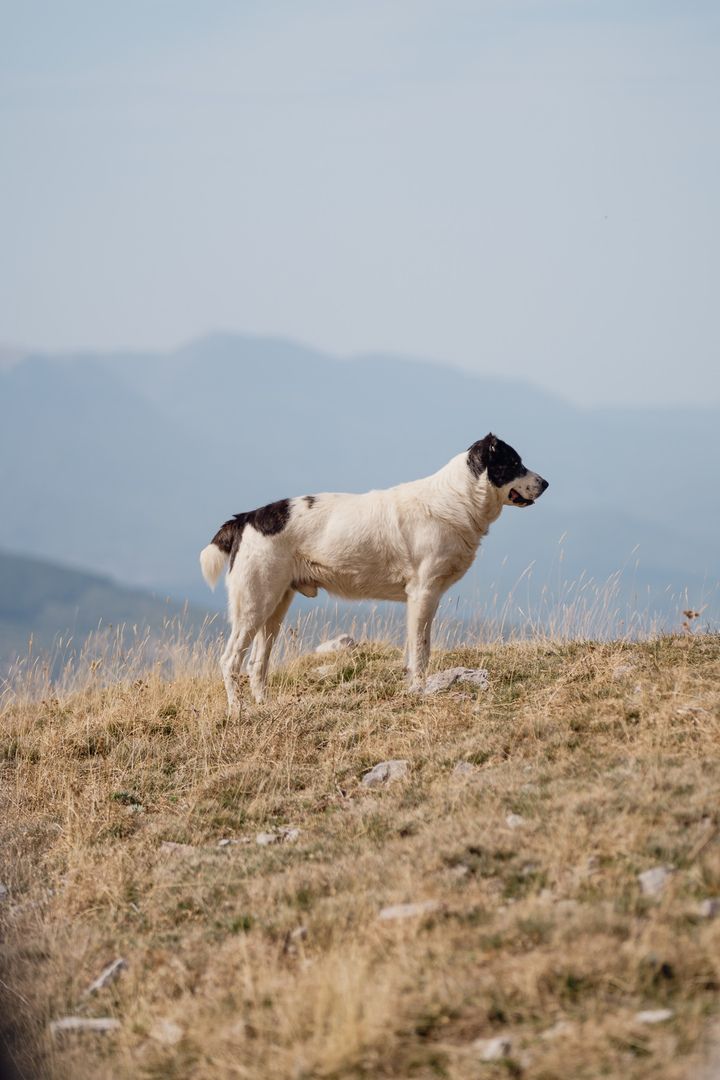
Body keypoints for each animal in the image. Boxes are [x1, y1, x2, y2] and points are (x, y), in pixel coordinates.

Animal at [201, 433, 548, 712]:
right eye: (514, 463)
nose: (546, 483)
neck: (455, 499)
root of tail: (246, 518)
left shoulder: (418, 600)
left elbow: (412, 650)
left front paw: (411, 686)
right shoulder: (424, 594)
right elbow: (421, 650)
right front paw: (420, 688)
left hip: (275, 607)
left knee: (258, 664)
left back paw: (265, 706)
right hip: (254, 606)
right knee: (231, 661)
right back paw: (239, 710)